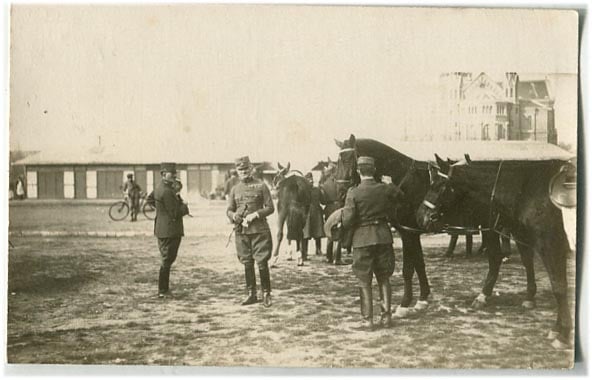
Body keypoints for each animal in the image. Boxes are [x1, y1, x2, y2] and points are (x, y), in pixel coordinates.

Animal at [414, 155, 572, 348]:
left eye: (439, 186)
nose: (420, 217)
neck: (527, 189)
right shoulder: (520, 233)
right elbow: (526, 262)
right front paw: (529, 297)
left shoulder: (551, 245)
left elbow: (558, 286)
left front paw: (561, 332)